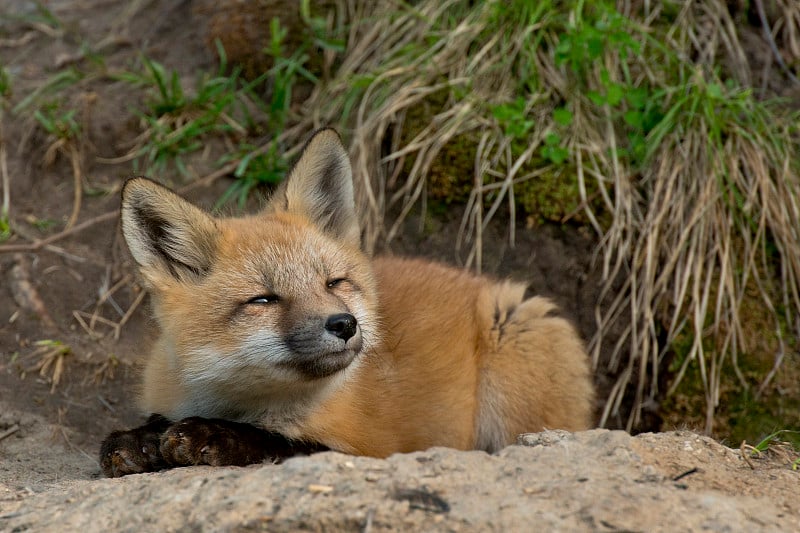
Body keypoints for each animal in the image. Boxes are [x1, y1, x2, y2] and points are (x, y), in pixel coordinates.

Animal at [101, 130, 592, 478]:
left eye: (333, 282)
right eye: (264, 299)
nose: (344, 324)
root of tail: (475, 277)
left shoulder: (375, 450)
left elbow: (283, 444)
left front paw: (216, 436)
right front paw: (140, 439)